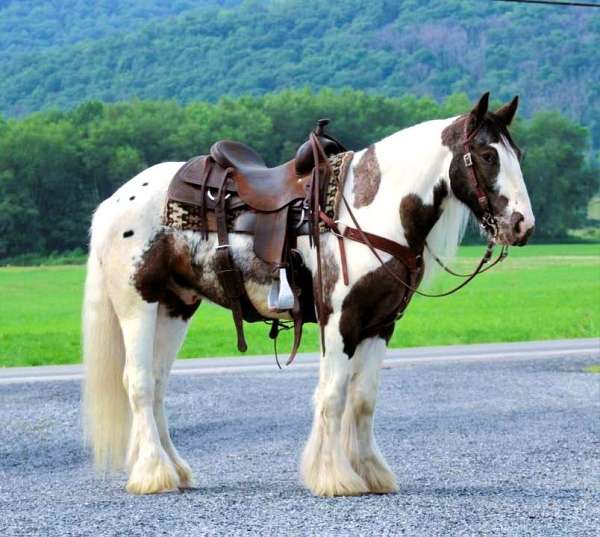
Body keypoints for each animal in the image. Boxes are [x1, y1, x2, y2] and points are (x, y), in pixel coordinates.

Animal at [81, 92, 536, 494]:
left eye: (518, 154)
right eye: (487, 155)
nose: (522, 225)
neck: (371, 208)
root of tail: (115, 200)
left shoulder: (380, 324)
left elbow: (363, 399)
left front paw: (372, 473)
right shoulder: (340, 321)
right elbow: (333, 395)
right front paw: (335, 478)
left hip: (175, 307)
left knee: (158, 384)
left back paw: (174, 470)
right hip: (138, 305)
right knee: (139, 382)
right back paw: (153, 474)